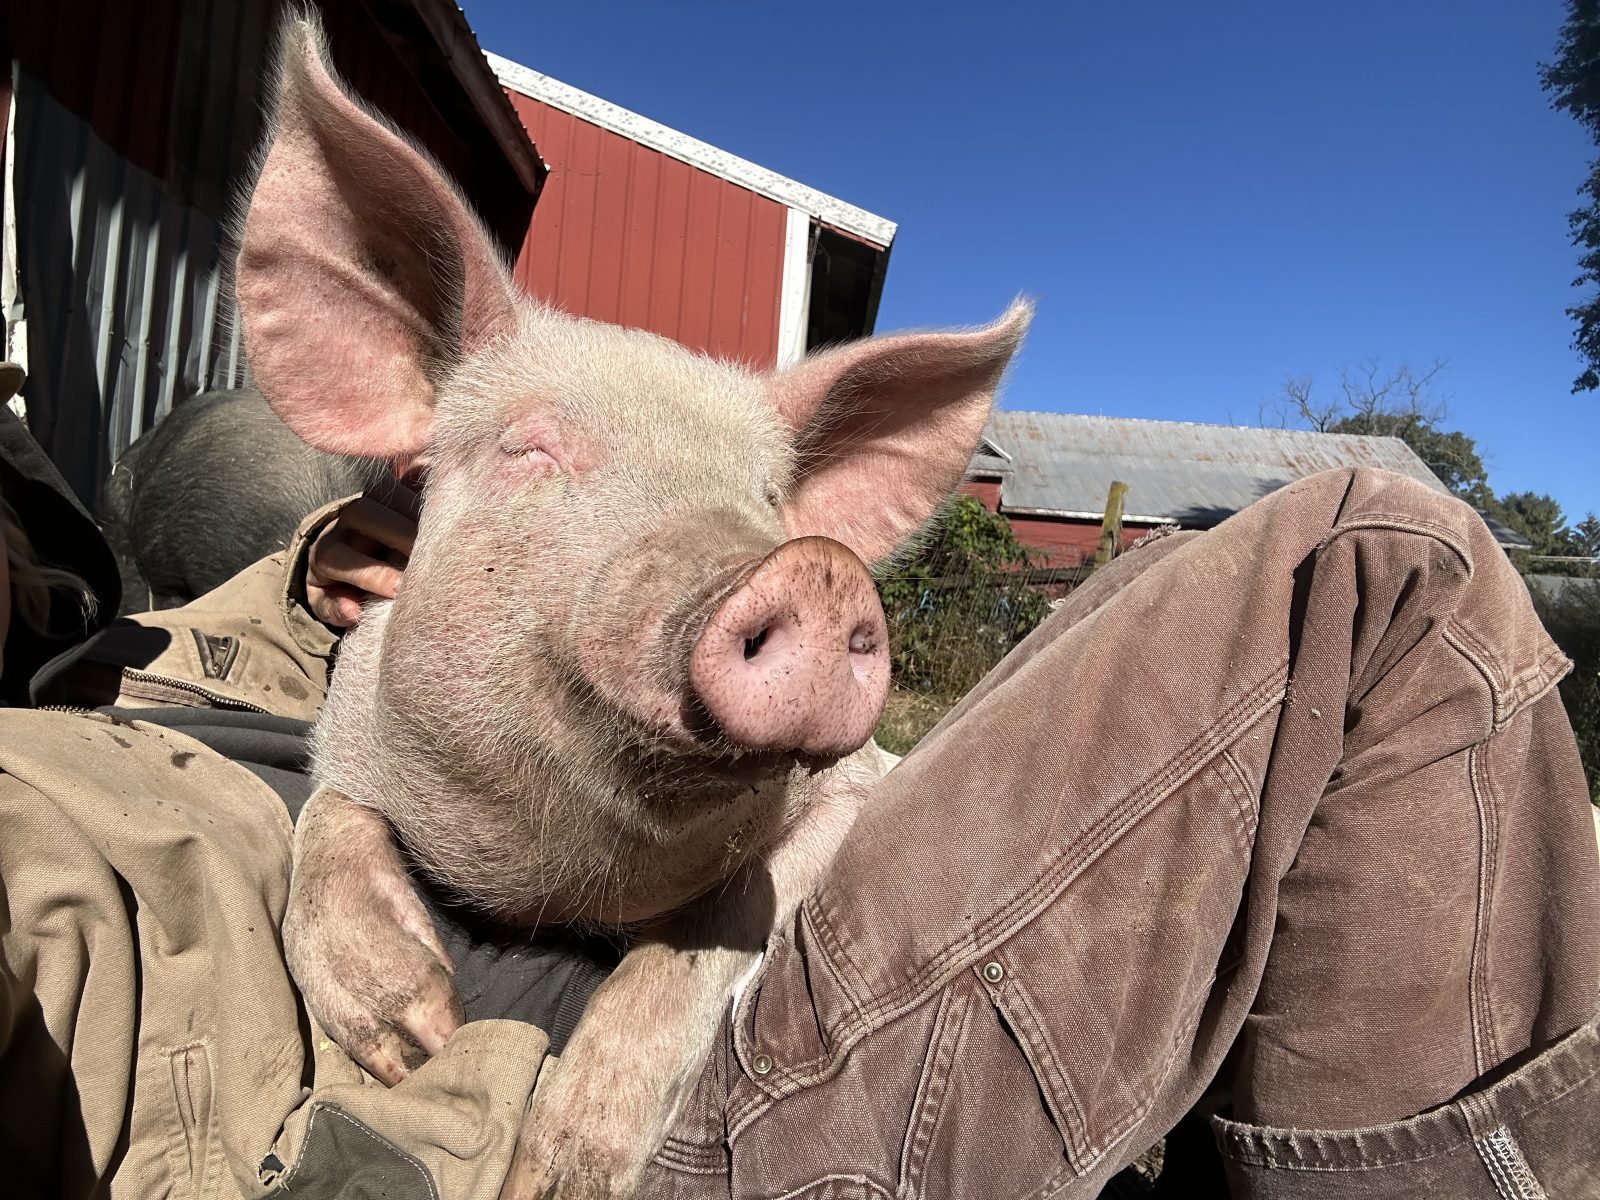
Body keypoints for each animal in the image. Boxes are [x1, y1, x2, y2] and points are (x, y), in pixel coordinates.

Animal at [233, 16, 1029, 1199]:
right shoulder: (349, 712)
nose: (813, 569)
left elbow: (711, 940)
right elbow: (322, 818)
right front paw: (416, 1038)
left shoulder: (849, 788)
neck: (552, 883)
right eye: (531, 449)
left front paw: (555, 1175)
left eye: (766, 497)